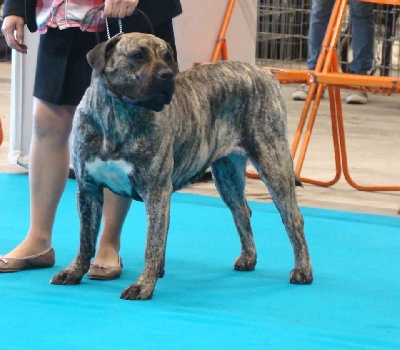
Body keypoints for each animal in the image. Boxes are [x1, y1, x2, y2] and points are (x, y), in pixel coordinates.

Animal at [50, 32, 312, 300]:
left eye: (167, 56)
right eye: (137, 55)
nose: (167, 75)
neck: (118, 114)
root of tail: (264, 72)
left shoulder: (155, 191)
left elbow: (152, 243)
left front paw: (143, 285)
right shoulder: (88, 188)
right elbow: (85, 238)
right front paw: (73, 271)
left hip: (273, 162)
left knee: (293, 218)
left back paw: (302, 270)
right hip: (226, 175)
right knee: (241, 211)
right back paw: (248, 258)